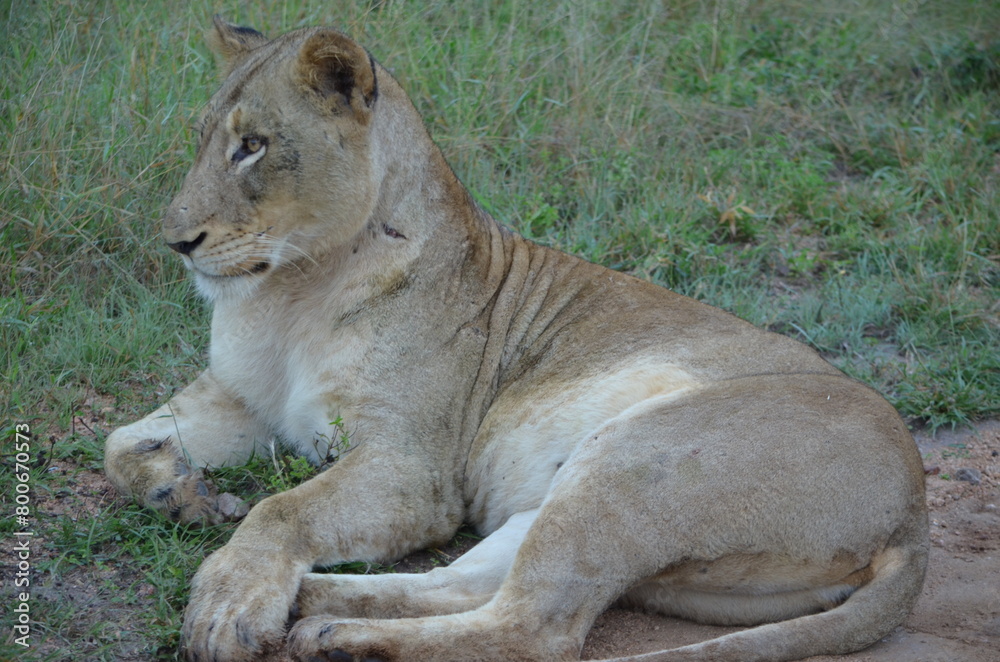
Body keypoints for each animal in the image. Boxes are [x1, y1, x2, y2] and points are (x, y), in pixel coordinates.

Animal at [103, 17, 929, 662]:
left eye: (254, 145)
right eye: (205, 141)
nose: (177, 241)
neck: (285, 294)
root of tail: (917, 512)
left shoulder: (414, 468)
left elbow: (282, 509)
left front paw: (227, 605)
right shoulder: (243, 396)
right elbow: (120, 445)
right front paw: (185, 495)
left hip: (635, 461)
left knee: (533, 626)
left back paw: (336, 633)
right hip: (562, 502)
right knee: (464, 583)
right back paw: (318, 601)